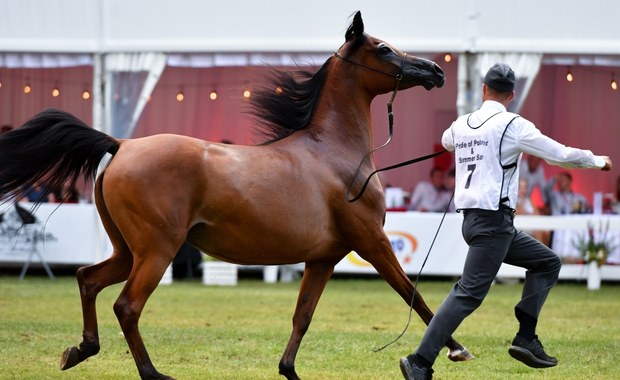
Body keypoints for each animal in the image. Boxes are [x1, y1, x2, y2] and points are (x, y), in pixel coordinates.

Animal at [0, 11, 472, 380]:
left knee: (88, 279)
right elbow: (415, 295)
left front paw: (288, 371)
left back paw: (80, 350)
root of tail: (121, 145)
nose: (435, 71)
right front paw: (457, 349)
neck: (334, 152)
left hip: (127, 251)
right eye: (385, 49)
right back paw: (153, 373)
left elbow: (302, 316)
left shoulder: (322, 258)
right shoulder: (372, 242)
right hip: (157, 250)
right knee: (127, 306)